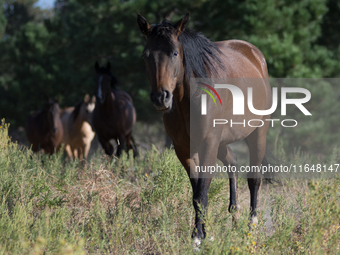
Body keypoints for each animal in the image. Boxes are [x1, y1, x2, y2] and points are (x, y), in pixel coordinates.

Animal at [138, 12, 274, 244]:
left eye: (174, 52)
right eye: (146, 55)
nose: (160, 98)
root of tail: (255, 56)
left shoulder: (208, 143)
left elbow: (202, 192)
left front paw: (197, 239)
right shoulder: (184, 148)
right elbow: (196, 193)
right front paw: (202, 233)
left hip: (258, 133)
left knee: (254, 179)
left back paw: (251, 228)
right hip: (223, 142)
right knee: (232, 162)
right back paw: (234, 217)